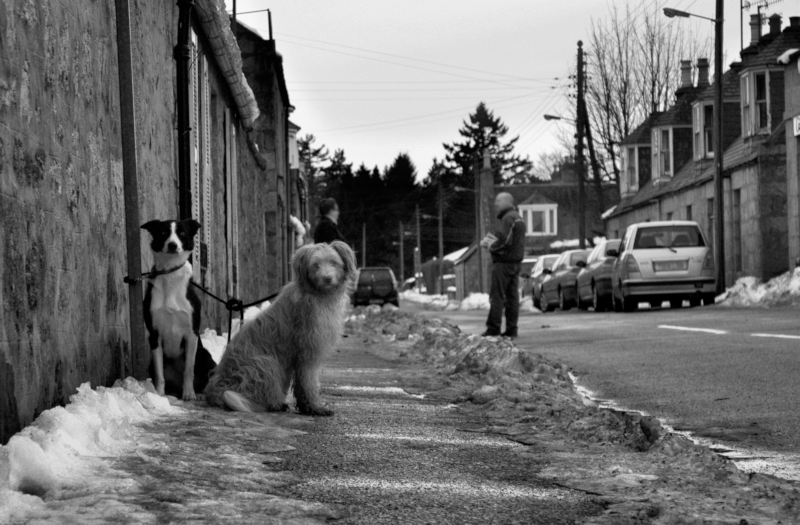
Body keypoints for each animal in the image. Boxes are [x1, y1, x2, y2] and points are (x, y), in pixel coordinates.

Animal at [141, 219, 214, 400]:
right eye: (163, 233)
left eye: (182, 233)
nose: (172, 245)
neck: (170, 275)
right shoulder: (154, 334)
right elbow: (159, 374)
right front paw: (159, 395)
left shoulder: (192, 333)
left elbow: (189, 370)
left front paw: (189, 394)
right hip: (151, 363)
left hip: (204, 355)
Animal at [205, 239, 354, 416]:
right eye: (315, 265)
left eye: (333, 262)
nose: (327, 278)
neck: (318, 295)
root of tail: (216, 390)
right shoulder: (307, 352)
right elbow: (309, 383)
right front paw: (315, 408)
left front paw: (306, 407)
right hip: (265, 363)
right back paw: (274, 404)